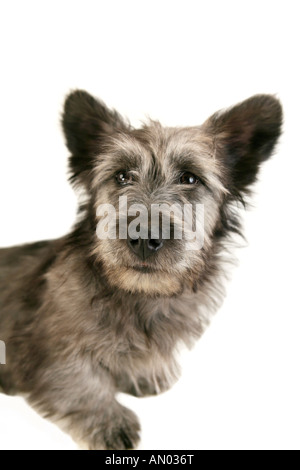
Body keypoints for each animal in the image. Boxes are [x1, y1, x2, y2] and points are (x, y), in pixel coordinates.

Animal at [0, 91, 282, 448]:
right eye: (122, 175)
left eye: (190, 178)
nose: (145, 238)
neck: (138, 297)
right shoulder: (44, 349)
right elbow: (78, 379)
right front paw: (109, 421)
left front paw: (144, 375)